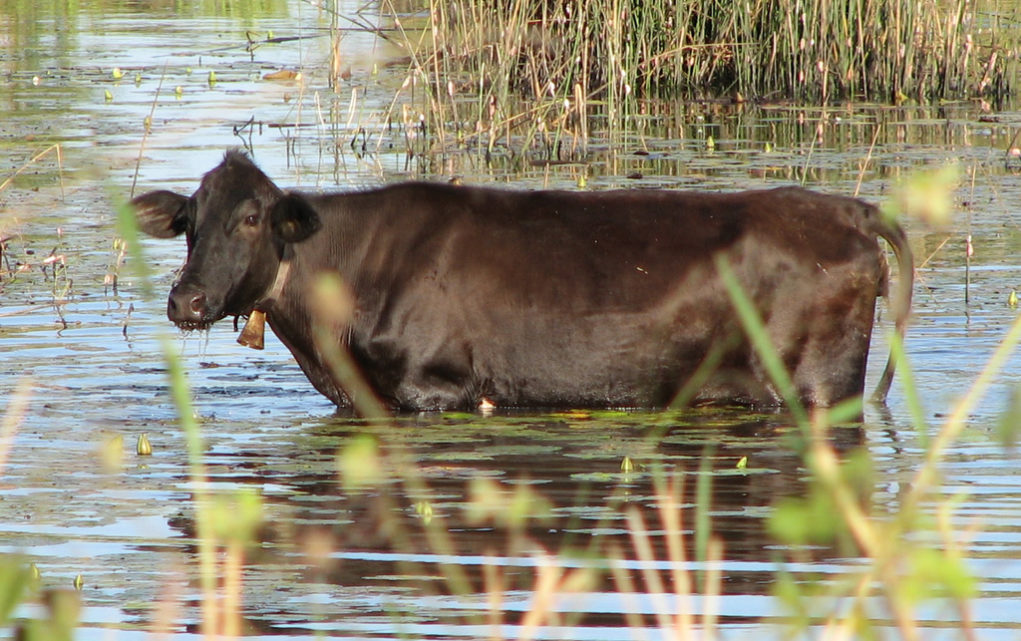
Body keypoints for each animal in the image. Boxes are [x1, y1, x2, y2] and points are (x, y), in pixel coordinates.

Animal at [131, 150, 914, 410]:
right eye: (189, 220)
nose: (186, 299)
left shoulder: (436, 386)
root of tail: (845, 206)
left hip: (819, 380)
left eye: (251, 218)